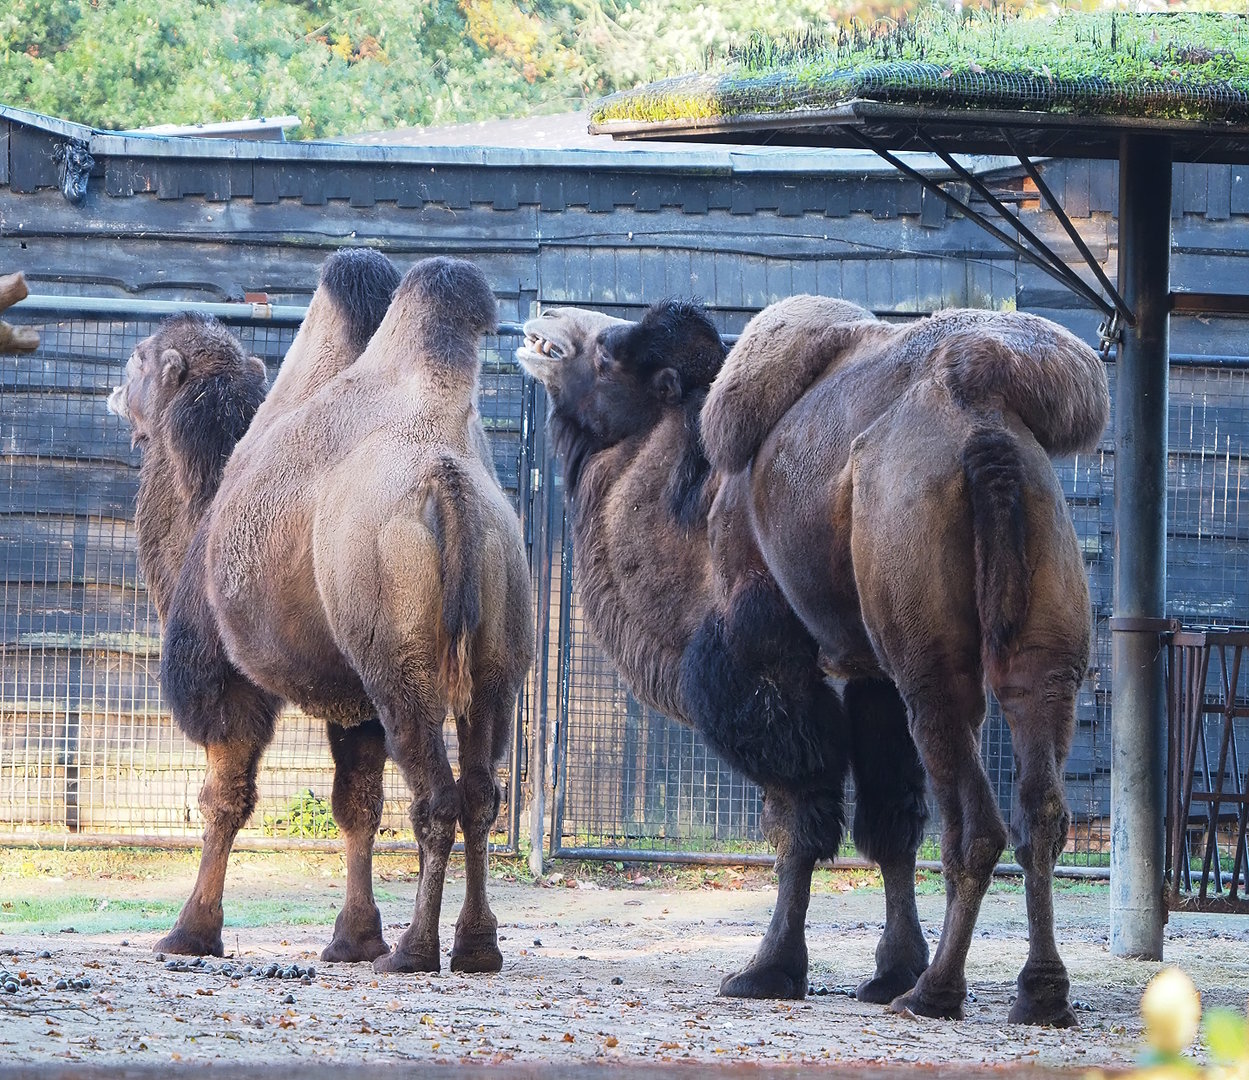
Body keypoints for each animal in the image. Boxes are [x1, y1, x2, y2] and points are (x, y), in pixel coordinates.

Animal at [204, 255, 533, 975]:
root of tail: (446, 480)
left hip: (397, 660)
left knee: (434, 797)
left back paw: (412, 951)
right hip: (500, 646)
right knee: (481, 793)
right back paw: (476, 947)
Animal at [516, 302, 930, 1003]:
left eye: (607, 354)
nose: (544, 317)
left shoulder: (759, 669)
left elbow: (797, 820)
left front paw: (768, 969)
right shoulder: (877, 676)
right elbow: (891, 812)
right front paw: (896, 970)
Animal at [701, 296, 1108, 1027]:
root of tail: (983, 427)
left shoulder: (766, 620)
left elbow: (797, 805)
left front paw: (765, 972)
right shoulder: (868, 666)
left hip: (923, 626)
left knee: (972, 818)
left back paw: (934, 992)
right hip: (1046, 607)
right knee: (1039, 798)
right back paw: (1039, 995)